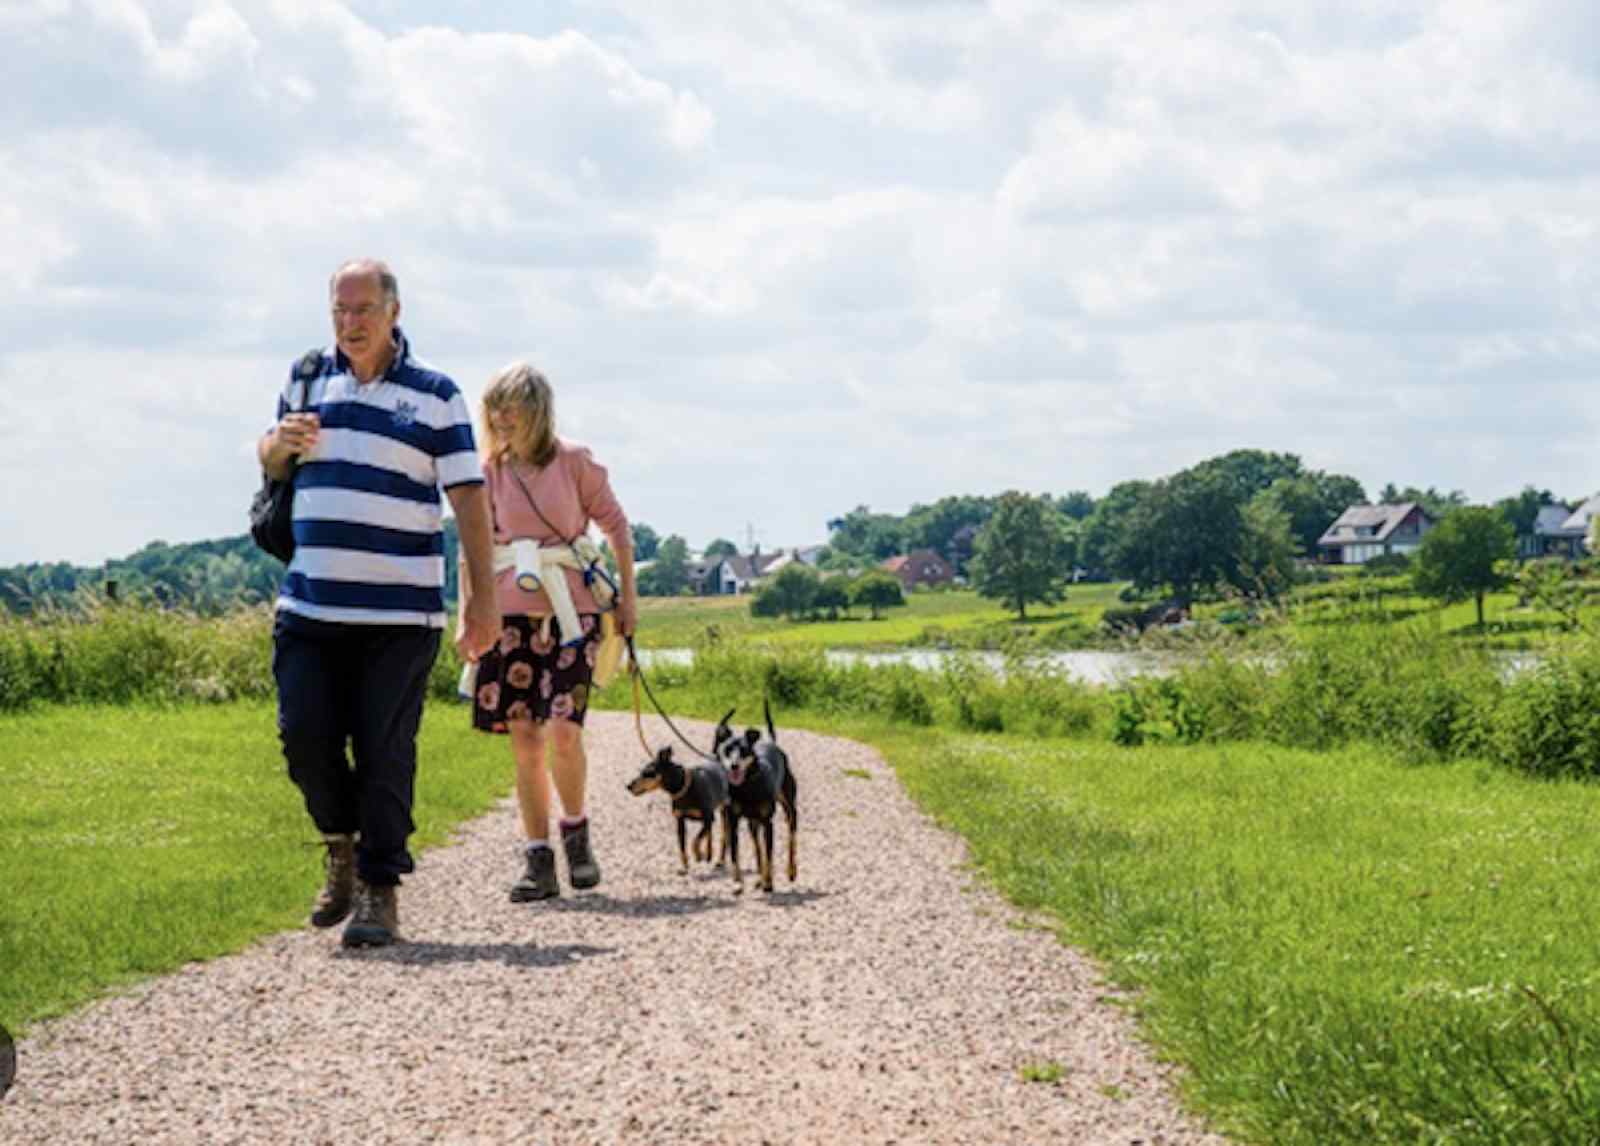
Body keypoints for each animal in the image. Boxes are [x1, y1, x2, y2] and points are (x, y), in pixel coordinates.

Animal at [716, 697, 796, 896]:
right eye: (727, 749)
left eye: (744, 750)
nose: (734, 765)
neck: (747, 787)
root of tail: (771, 742)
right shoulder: (733, 821)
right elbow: (735, 854)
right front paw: (738, 883)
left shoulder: (768, 822)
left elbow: (769, 855)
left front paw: (769, 883)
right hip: (752, 823)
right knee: (757, 847)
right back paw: (759, 879)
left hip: (789, 808)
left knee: (791, 836)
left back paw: (790, 871)